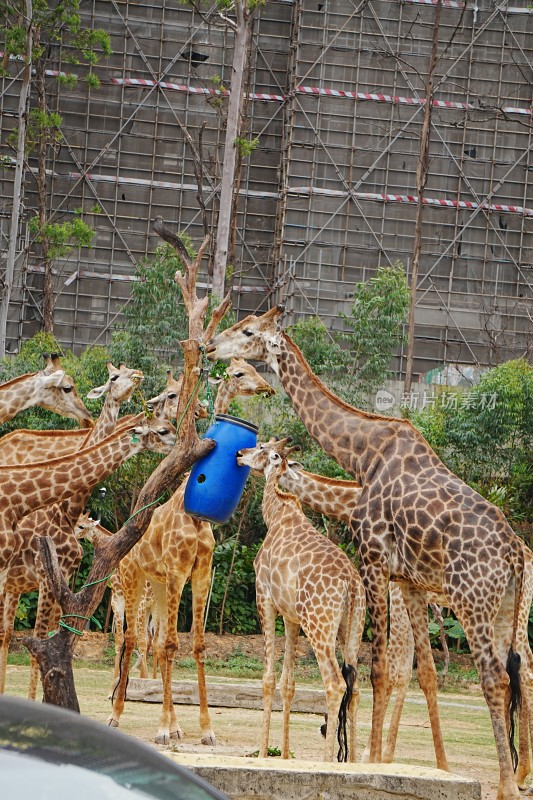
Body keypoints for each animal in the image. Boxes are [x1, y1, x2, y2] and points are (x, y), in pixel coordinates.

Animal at [108, 356, 274, 744]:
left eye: (252, 366)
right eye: (239, 372)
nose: (266, 386)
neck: (191, 512)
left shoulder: (199, 573)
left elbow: (195, 645)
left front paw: (205, 729)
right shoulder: (176, 571)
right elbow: (170, 645)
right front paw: (162, 730)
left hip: (156, 585)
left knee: (151, 642)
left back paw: (174, 725)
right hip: (133, 579)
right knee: (132, 638)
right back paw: (117, 715)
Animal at [237, 438, 366, 764]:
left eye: (261, 447)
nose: (240, 454)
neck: (276, 514)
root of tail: (350, 583)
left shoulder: (265, 598)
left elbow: (269, 679)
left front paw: (263, 754)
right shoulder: (291, 616)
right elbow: (289, 684)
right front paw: (283, 755)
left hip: (318, 624)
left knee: (335, 683)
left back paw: (327, 761)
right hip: (352, 627)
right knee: (356, 688)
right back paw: (353, 763)